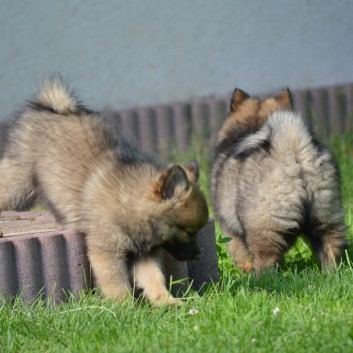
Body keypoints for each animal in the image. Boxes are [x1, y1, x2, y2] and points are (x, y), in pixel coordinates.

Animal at [0, 78, 208, 304]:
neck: (130, 201)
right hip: (18, 184)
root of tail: (49, 106)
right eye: (188, 232)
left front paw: (166, 301)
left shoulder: (144, 253)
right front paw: (126, 307)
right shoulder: (107, 252)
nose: (198, 255)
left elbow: (154, 277)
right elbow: (117, 284)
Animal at [210, 87, 346, 272]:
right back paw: (331, 272)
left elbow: (241, 254)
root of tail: (290, 145)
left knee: (265, 258)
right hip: (325, 213)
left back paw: (263, 277)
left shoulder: (230, 231)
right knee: (331, 244)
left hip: (263, 225)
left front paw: (246, 271)